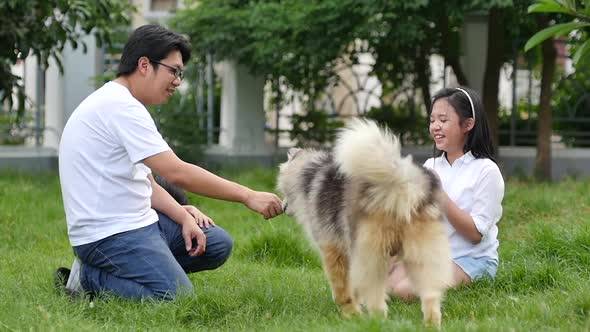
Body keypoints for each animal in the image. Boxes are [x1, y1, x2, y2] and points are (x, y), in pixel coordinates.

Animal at [278, 119, 454, 326]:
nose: (282, 207)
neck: (310, 174)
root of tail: (400, 182)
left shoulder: (333, 248)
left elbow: (342, 288)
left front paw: (350, 313)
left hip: (372, 254)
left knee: (377, 300)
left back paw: (373, 322)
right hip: (422, 252)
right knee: (430, 296)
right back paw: (431, 324)